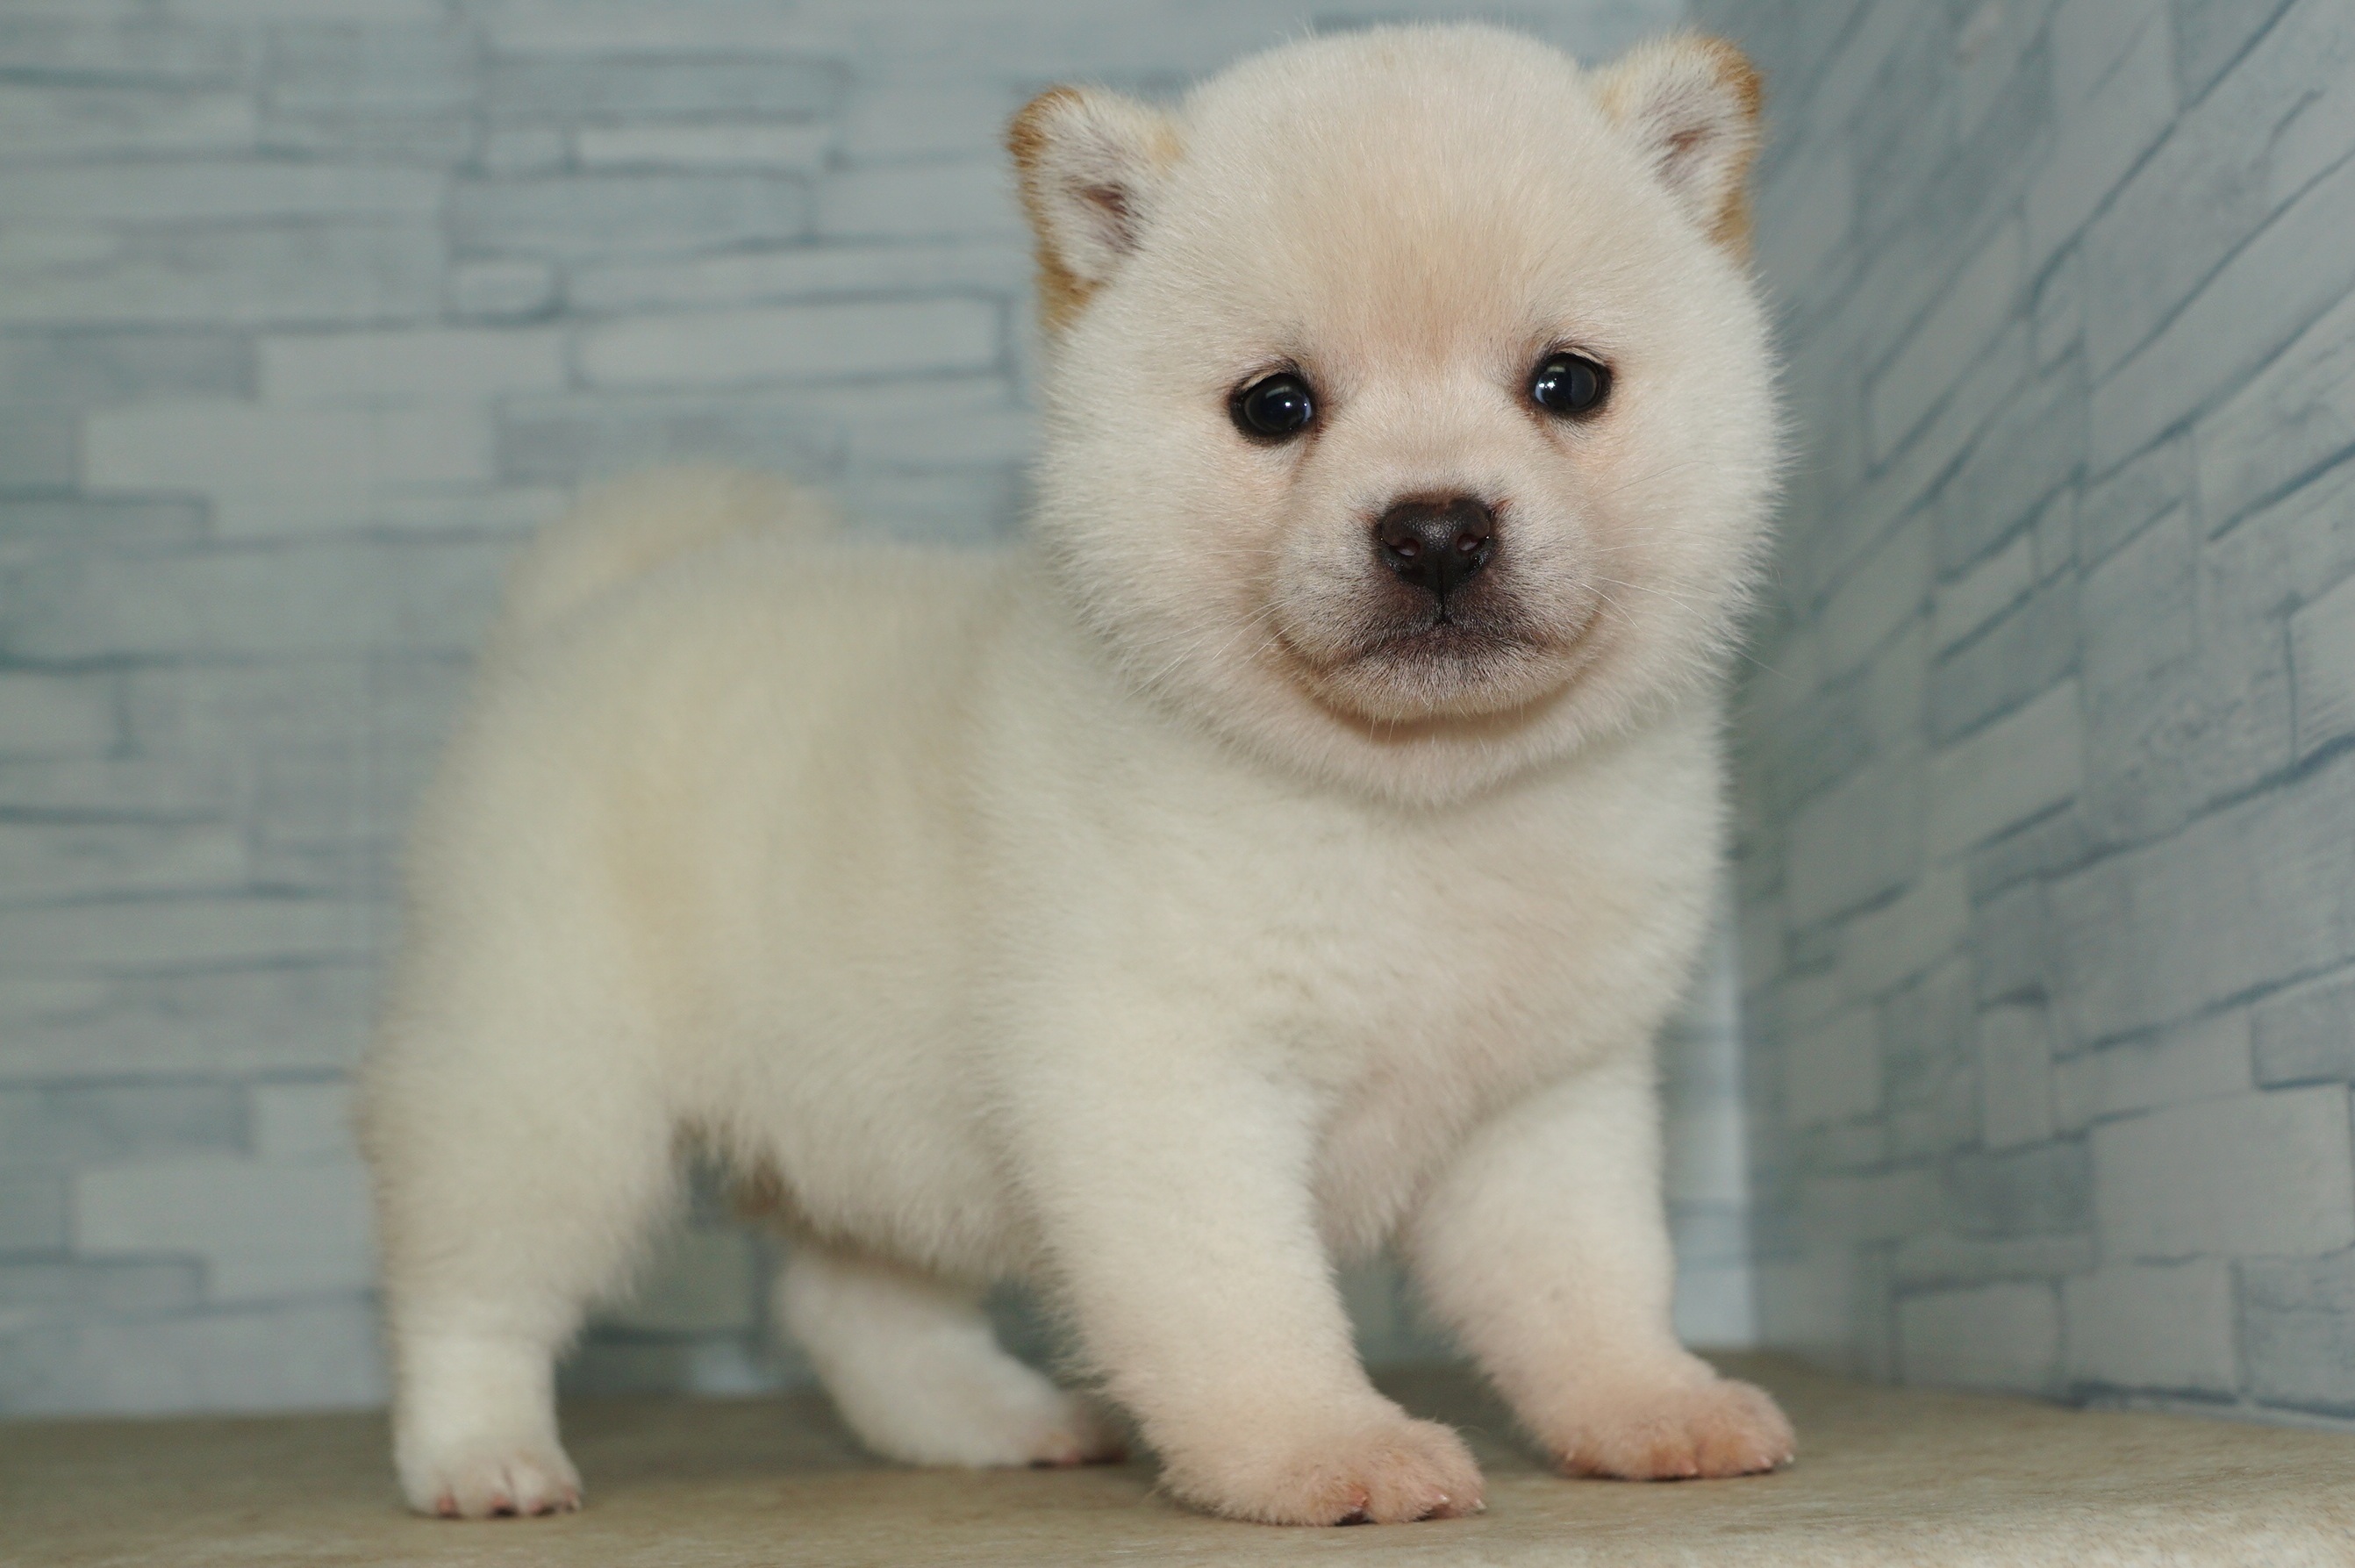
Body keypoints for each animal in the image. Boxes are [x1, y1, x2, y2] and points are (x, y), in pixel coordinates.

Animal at [362, 18, 1780, 1515]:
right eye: (1276, 406)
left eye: (1567, 383)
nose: (1438, 526)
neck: (1416, 802)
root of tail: (575, 615)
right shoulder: (1166, 1070)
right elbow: (1246, 1303)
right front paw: (1325, 1448)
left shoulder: (1544, 1093)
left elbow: (1589, 1281)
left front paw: (1649, 1405)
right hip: (551, 1075)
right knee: (472, 1281)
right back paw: (482, 1455)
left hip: (854, 1116)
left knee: (856, 1302)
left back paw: (989, 1417)